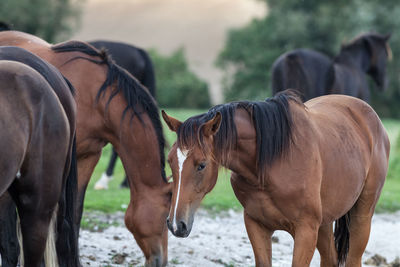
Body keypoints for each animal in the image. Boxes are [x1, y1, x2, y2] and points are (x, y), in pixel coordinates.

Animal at [161, 90, 390, 267]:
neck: (269, 163)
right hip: (324, 224)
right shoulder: (256, 225)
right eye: (170, 161)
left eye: (201, 165)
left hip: (361, 216)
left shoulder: (306, 231)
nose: (176, 224)